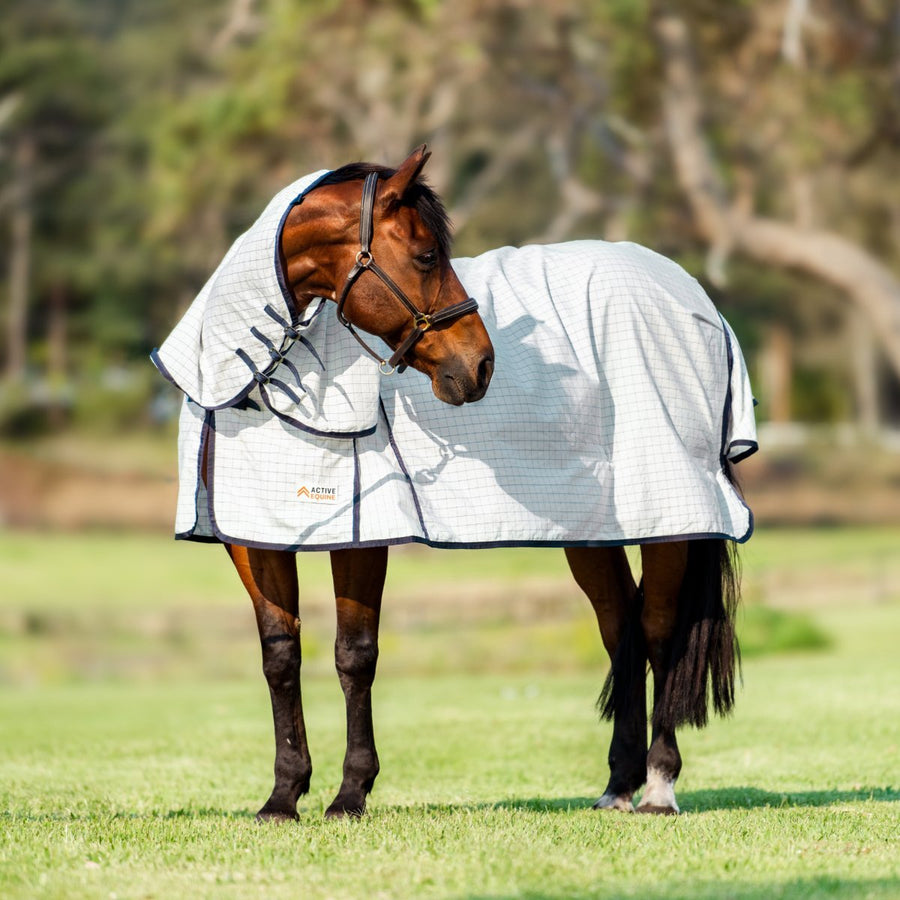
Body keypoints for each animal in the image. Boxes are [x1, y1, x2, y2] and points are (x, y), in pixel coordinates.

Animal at [153, 146, 755, 822]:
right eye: (425, 256)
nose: (482, 365)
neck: (261, 382)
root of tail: (693, 296)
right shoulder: (254, 536)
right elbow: (281, 655)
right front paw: (283, 796)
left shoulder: (362, 534)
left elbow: (354, 653)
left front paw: (350, 793)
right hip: (591, 525)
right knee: (619, 626)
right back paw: (617, 785)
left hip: (670, 514)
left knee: (657, 630)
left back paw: (657, 784)